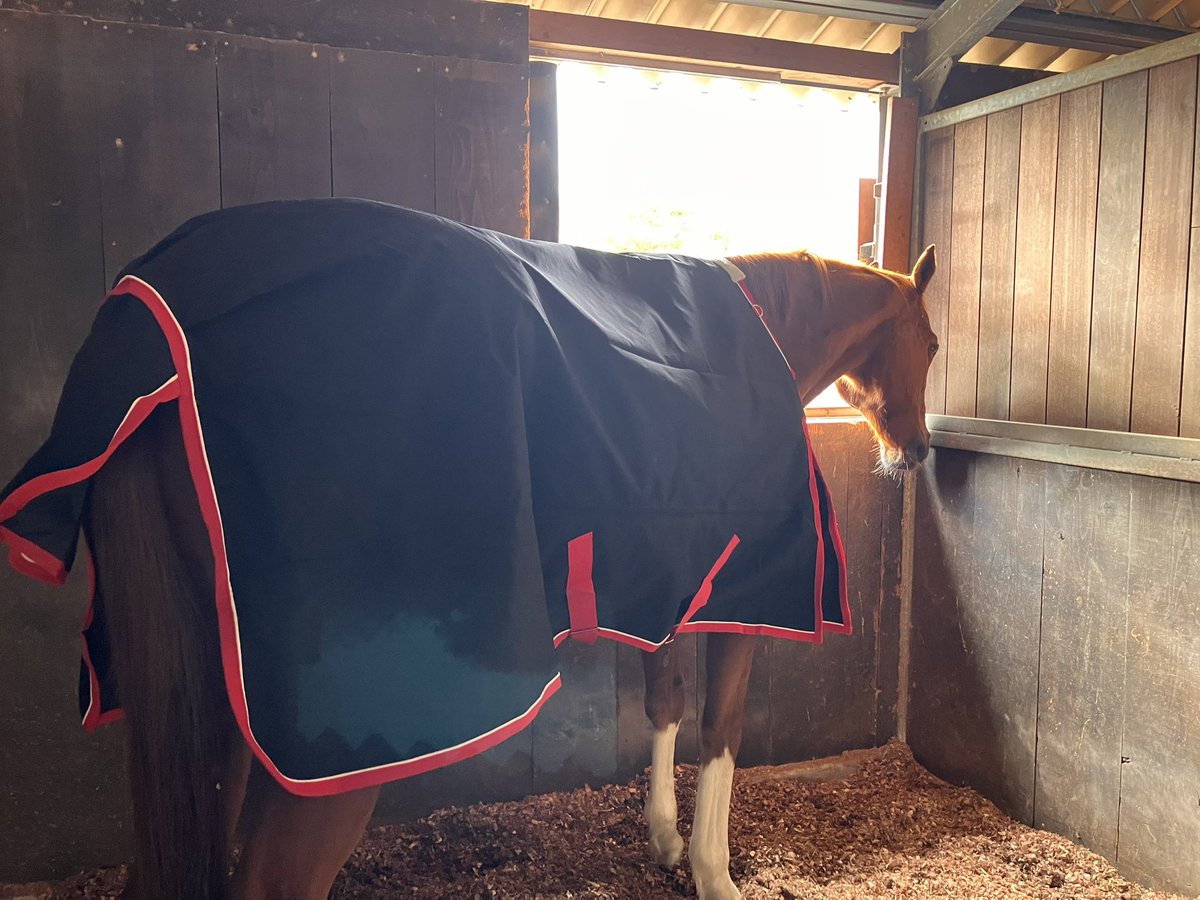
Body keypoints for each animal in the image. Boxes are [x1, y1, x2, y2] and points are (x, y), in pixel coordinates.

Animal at [26, 220, 937, 899]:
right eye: (929, 341)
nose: (920, 451)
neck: (760, 338)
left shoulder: (670, 588)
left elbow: (666, 706)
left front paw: (665, 844)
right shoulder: (743, 594)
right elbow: (721, 731)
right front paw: (712, 872)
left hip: (207, 716)